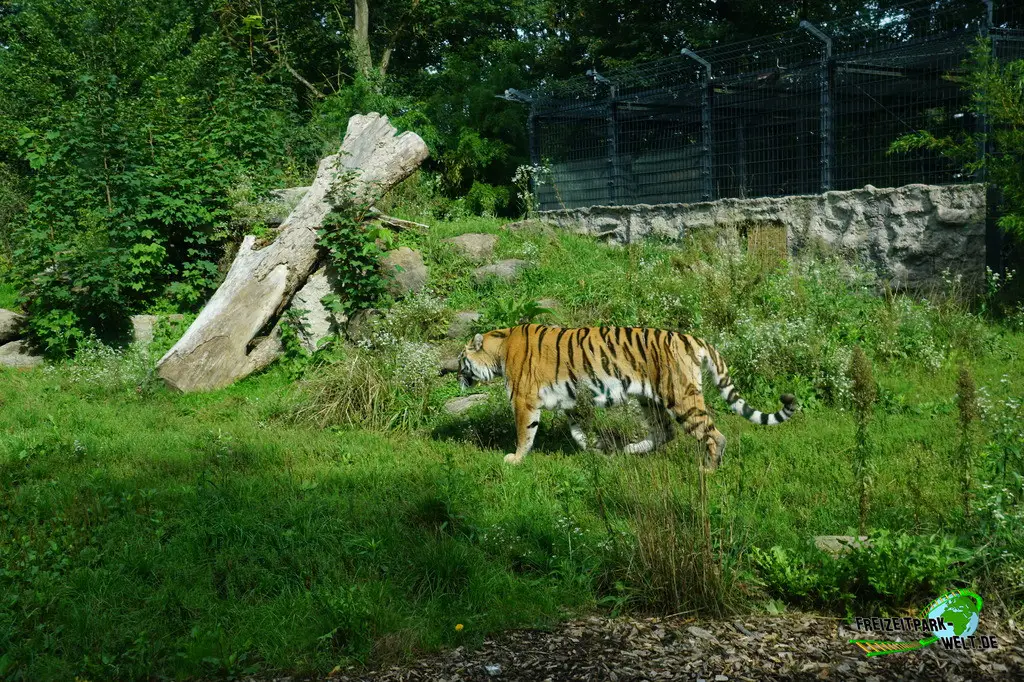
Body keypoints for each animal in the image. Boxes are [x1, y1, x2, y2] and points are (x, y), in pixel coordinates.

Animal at [451, 324, 797, 466]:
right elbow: (579, 432)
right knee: (665, 432)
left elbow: (525, 433)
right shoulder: (572, 402)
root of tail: (692, 337)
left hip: (679, 396)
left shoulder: (524, 400)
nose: (454, 375)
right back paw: (630, 450)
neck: (500, 349)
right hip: (650, 399)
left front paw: (515, 459)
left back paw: (708, 468)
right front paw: (598, 452)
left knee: (712, 434)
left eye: (461, 360)